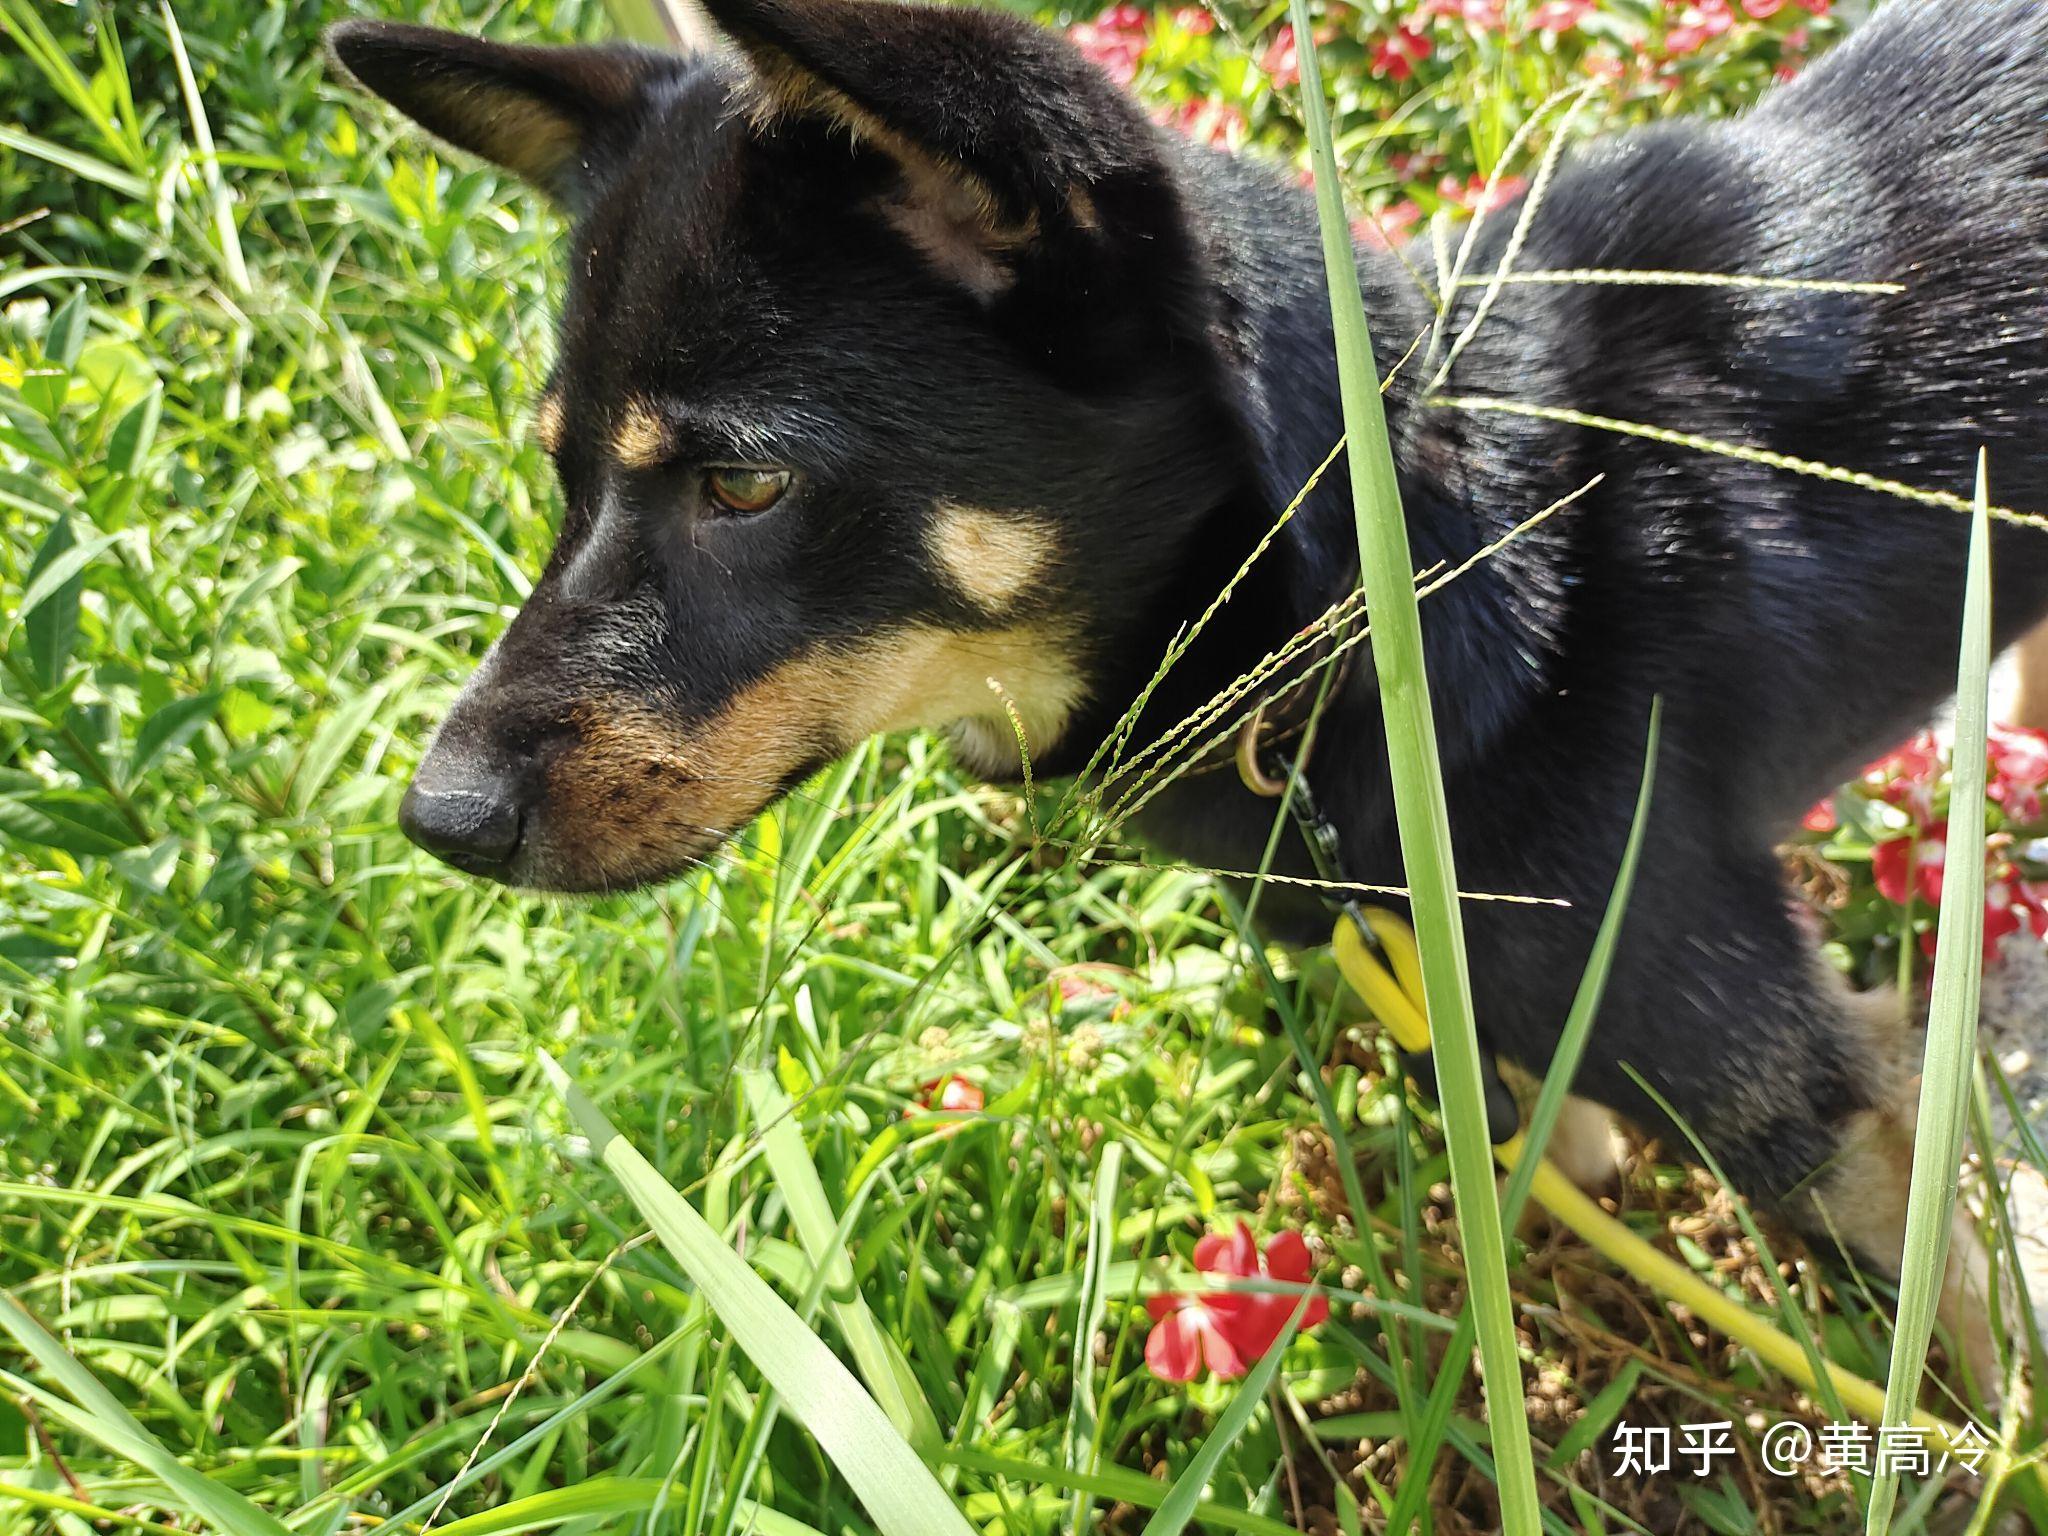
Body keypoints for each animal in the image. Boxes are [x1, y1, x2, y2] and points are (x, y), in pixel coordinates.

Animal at [327, 0, 2048, 1343]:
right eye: (559, 476)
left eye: (743, 485)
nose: (435, 819)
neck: (1388, 577)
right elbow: (1530, 1123)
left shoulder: (1818, 1097)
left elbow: (1959, 1347)